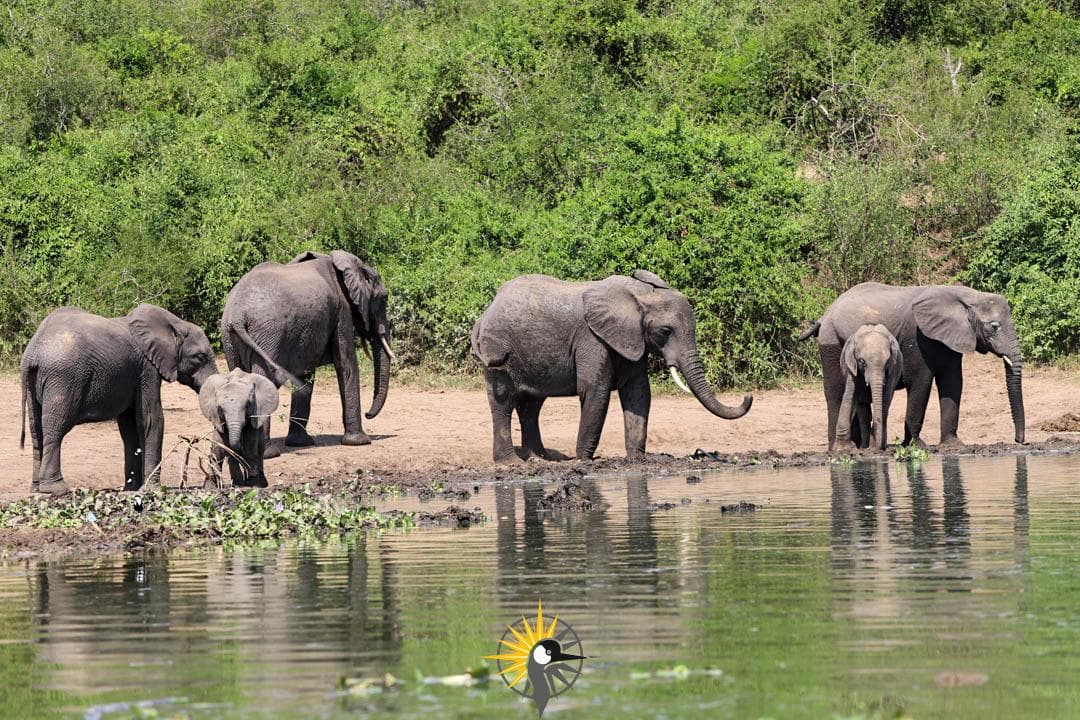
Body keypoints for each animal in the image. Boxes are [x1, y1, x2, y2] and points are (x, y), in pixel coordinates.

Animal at [19, 304, 218, 494]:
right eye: (200, 357)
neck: (175, 323)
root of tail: (33, 352)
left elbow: (129, 427)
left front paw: (132, 489)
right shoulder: (147, 369)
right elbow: (151, 419)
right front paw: (152, 489)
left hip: (34, 383)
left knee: (36, 430)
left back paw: (36, 488)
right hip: (64, 379)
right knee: (56, 427)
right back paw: (56, 489)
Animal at [220, 250, 392, 449]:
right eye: (384, 298)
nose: (368, 414)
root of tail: (238, 315)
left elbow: (305, 375)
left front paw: (300, 443)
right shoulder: (341, 311)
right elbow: (346, 365)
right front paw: (359, 442)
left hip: (229, 338)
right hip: (268, 335)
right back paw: (269, 452)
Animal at [470, 270, 753, 463]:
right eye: (665, 331)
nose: (748, 395)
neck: (639, 294)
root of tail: (484, 315)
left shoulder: (632, 339)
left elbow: (639, 393)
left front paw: (637, 459)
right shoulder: (591, 338)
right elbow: (595, 390)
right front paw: (583, 461)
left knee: (531, 406)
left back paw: (542, 458)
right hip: (497, 346)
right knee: (504, 402)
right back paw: (512, 463)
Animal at [800, 282, 1025, 450]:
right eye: (994, 326)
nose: (1019, 440)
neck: (967, 296)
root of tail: (824, 315)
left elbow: (953, 383)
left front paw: (953, 445)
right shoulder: (917, 337)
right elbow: (921, 382)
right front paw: (917, 445)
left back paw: (860, 447)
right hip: (831, 343)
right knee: (836, 393)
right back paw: (838, 449)